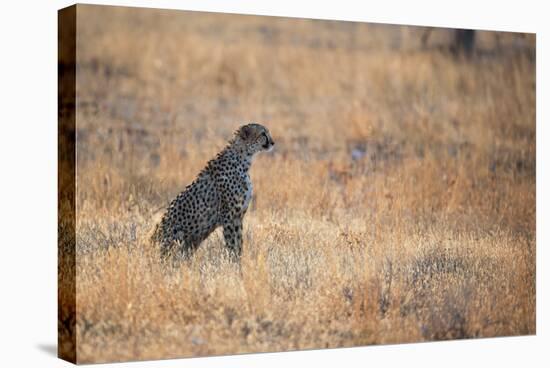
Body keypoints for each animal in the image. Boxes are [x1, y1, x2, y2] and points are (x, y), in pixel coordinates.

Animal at [152, 123, 274, 258]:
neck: (243, 159)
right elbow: (232, 244)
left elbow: (239, 243)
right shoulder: (230, 218)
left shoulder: (238, 217)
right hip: (176, 232)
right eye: (263, 134)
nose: (273, 143)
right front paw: (233, 262)